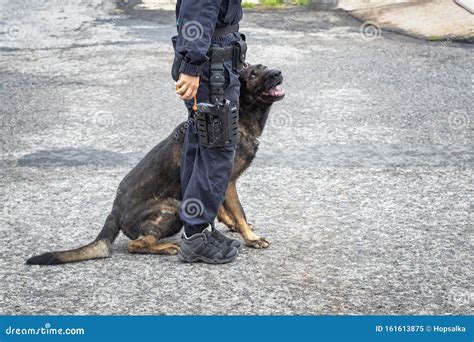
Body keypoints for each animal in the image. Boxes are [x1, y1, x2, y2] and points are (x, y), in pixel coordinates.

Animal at [26, 65, 286, 268]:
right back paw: (166, 247)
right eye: (253, 75)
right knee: (135, 244)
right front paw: (251, 238)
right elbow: (239, 211)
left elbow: (222, 210)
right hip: (173, 208)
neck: (241, 116)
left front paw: (231, 226)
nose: (277, 72)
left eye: (265, 67)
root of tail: (114, 212)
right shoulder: (227, 180)